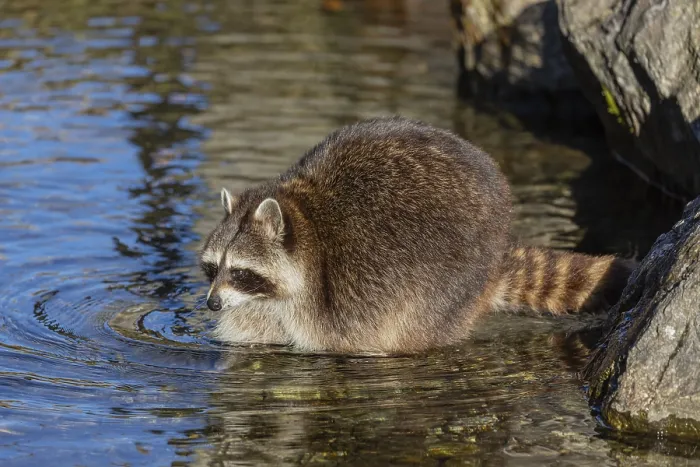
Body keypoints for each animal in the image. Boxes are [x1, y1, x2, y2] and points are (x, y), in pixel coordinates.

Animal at [199, 116, 634, 355]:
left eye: (240, 271)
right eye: (212, 268)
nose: (212, 304)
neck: (305, 222)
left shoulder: (342, 291)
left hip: (452, 274)